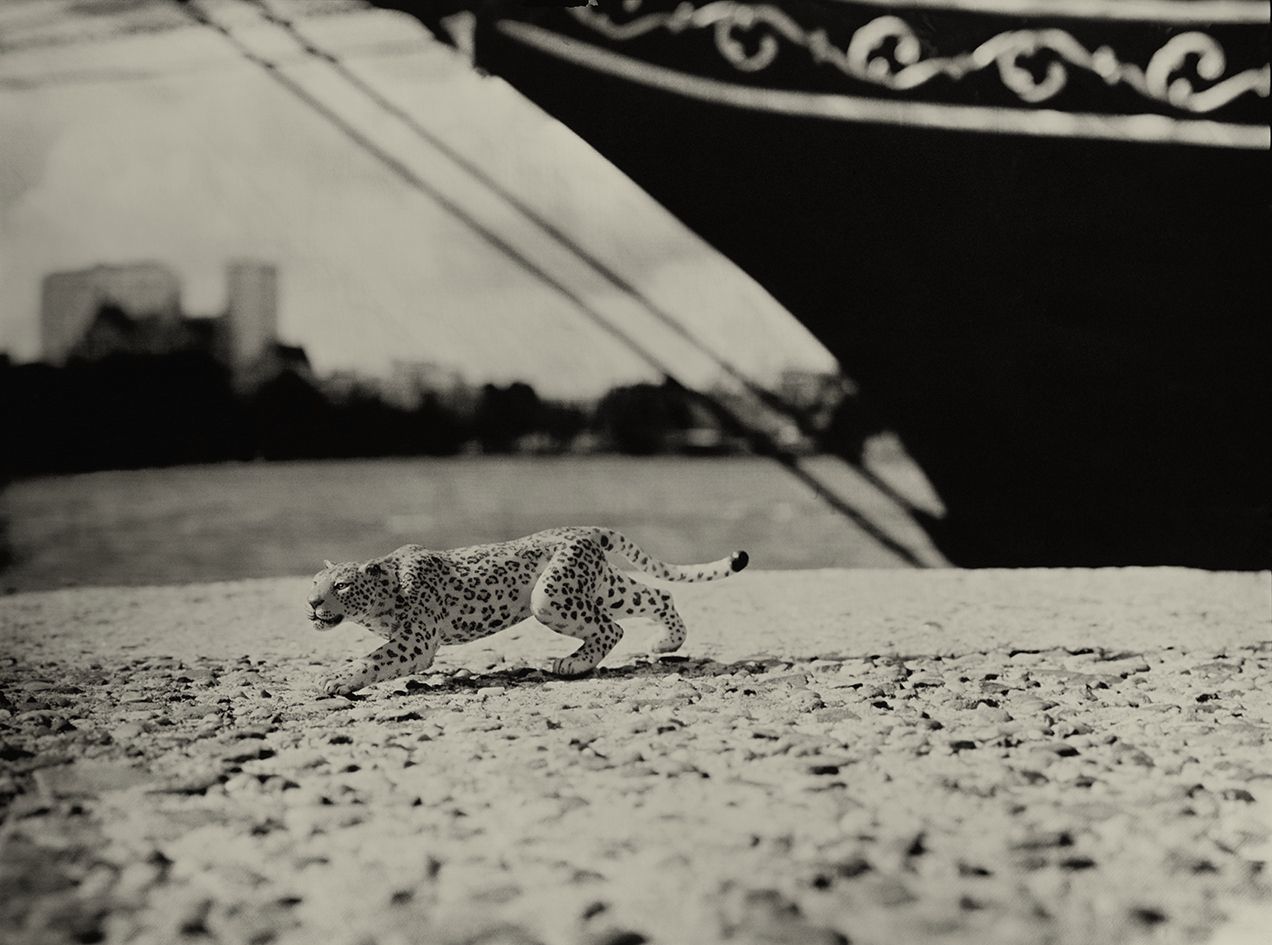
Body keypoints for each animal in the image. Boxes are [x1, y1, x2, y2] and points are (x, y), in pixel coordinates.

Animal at [309, 526, 749, 695]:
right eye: (313, 583)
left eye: (341, 585)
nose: (312, 605)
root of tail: (587, 530)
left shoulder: (416, 640)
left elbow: (374, 659)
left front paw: (335, 680)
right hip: (603, 589)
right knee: (659, 594)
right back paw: (666, 643)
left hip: (551, 598)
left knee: (611, 629)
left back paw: (574, 664)